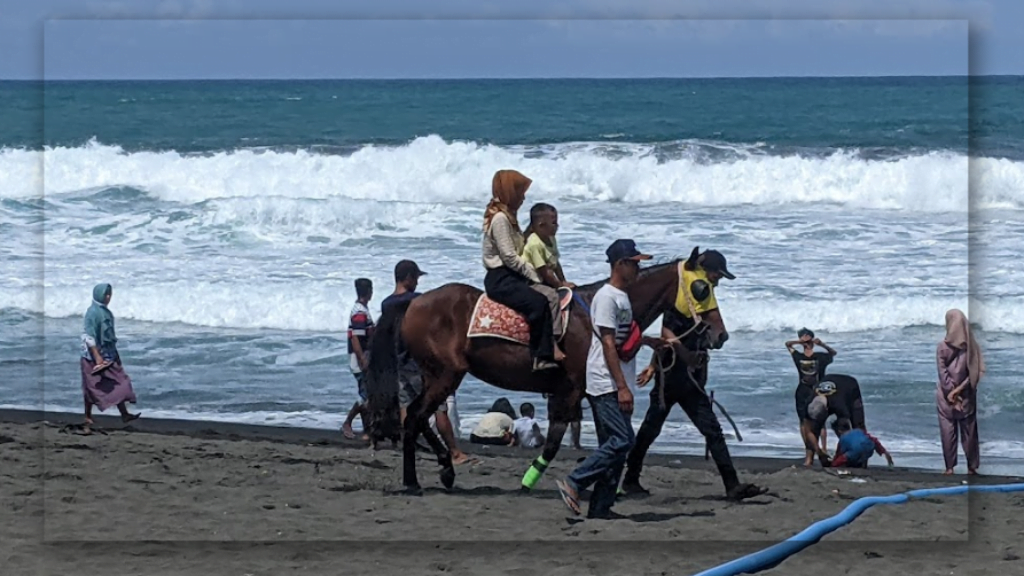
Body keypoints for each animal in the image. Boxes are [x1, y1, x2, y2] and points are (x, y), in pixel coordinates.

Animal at [362, 252, 729, 494]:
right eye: (701, 288)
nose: (720, 334)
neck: (596, 316)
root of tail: (414, 301)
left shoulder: (590, 391)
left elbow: (606, 439)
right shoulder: (572, 390)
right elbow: (553, 444)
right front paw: (533, 481)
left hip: (436, 375)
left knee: (417, 415)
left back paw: (443, 469)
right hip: (445, 375)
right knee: (415, 416)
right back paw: (414, 480)